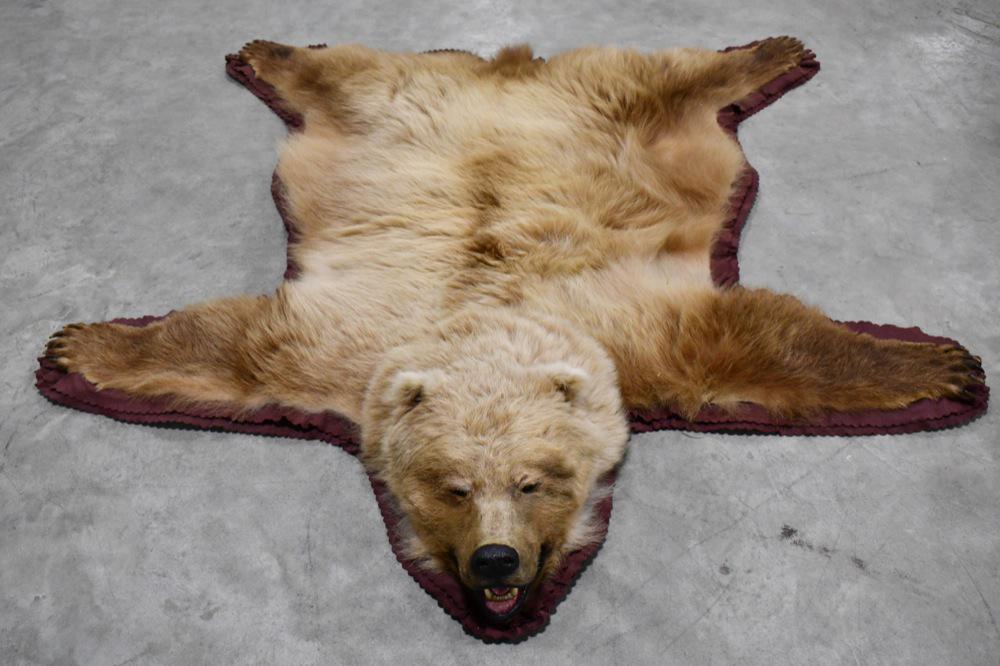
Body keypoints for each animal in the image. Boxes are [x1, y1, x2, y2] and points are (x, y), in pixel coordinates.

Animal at [45, 38, 984, 622]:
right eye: (453, 488)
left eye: (536, 482)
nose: (496, 564)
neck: (486, 321)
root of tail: (500, 75)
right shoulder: (343, 349)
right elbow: (227, 344)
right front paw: (78, 346)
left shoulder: (637, 333)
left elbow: (763, 339)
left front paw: (943, 365)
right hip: (384, 100)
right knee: (338, 73)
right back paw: (266, 51)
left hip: (611, 100)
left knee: (669, 76)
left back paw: (772, 50)